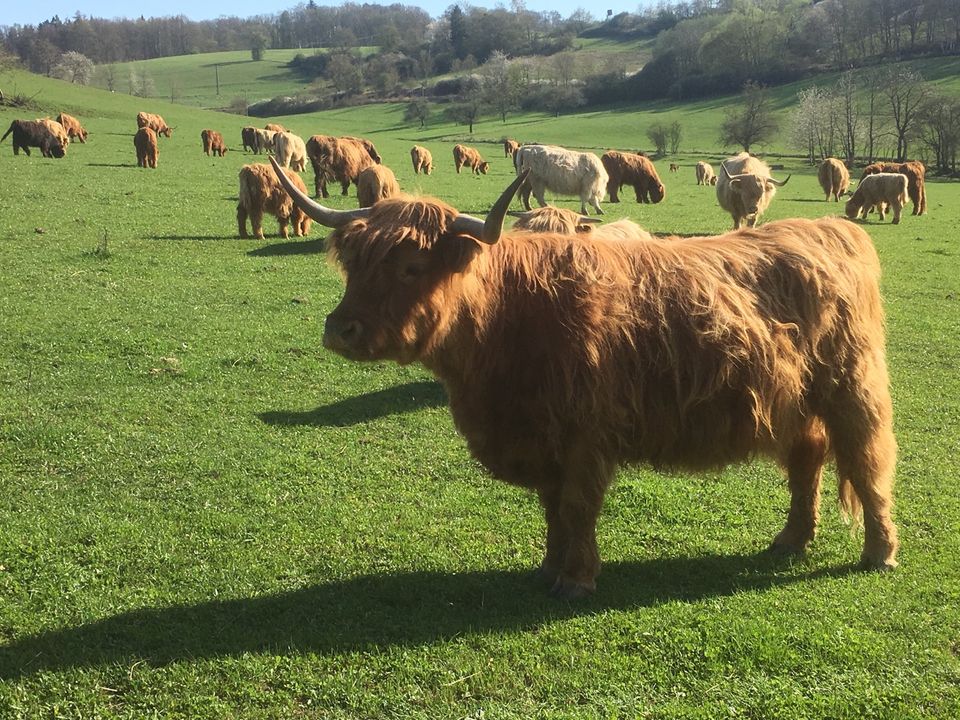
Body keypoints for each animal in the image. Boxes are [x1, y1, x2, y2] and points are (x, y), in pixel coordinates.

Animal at [272, 160, 900, 600]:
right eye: (353, 264)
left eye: (410, 267)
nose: (341, 330)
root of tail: (827, 230)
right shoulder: (543, 436)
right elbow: (553, 510)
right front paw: (548, 568)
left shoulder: (584, 435)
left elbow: (576, 508)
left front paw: (576, 580)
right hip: (797, 397)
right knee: (807, 457)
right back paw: (791, 540)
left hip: (852, 386)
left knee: (866, 460)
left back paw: (880, 552)